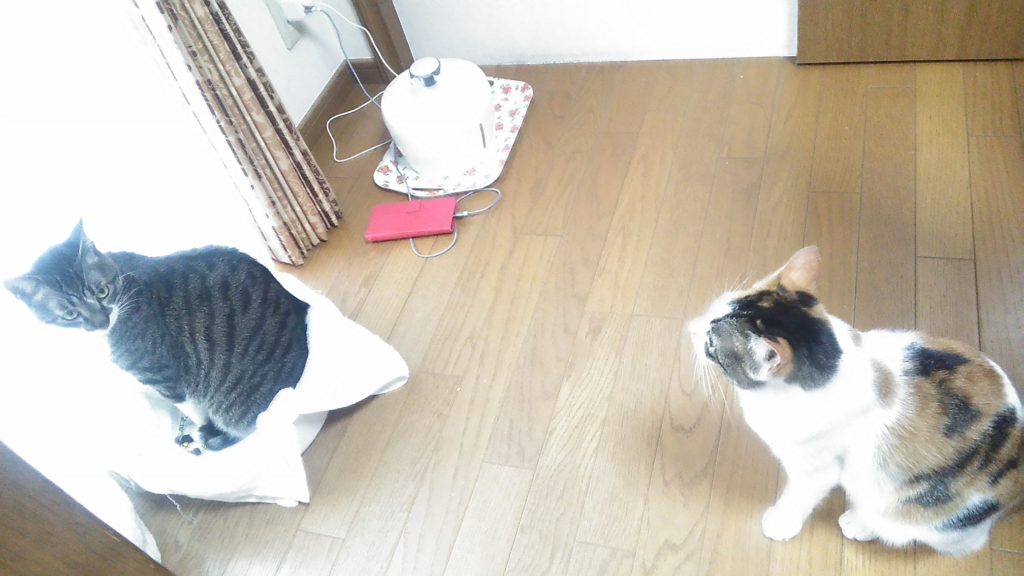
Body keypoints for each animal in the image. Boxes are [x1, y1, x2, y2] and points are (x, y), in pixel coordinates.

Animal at [4, 221, 310, 452]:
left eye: (102, 292)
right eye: (69, 314)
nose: (102, 322)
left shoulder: (164, 377)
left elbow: (192, 409)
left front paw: (201, 428)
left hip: (238, 403)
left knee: (248, 427)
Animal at [689, 246, 1023, 556]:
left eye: (711, 343)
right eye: (712, 307)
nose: (692, 326)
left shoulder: (818, 468)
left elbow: (799, 496)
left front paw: (781, 523)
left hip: (920, 509)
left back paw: (860, 523)